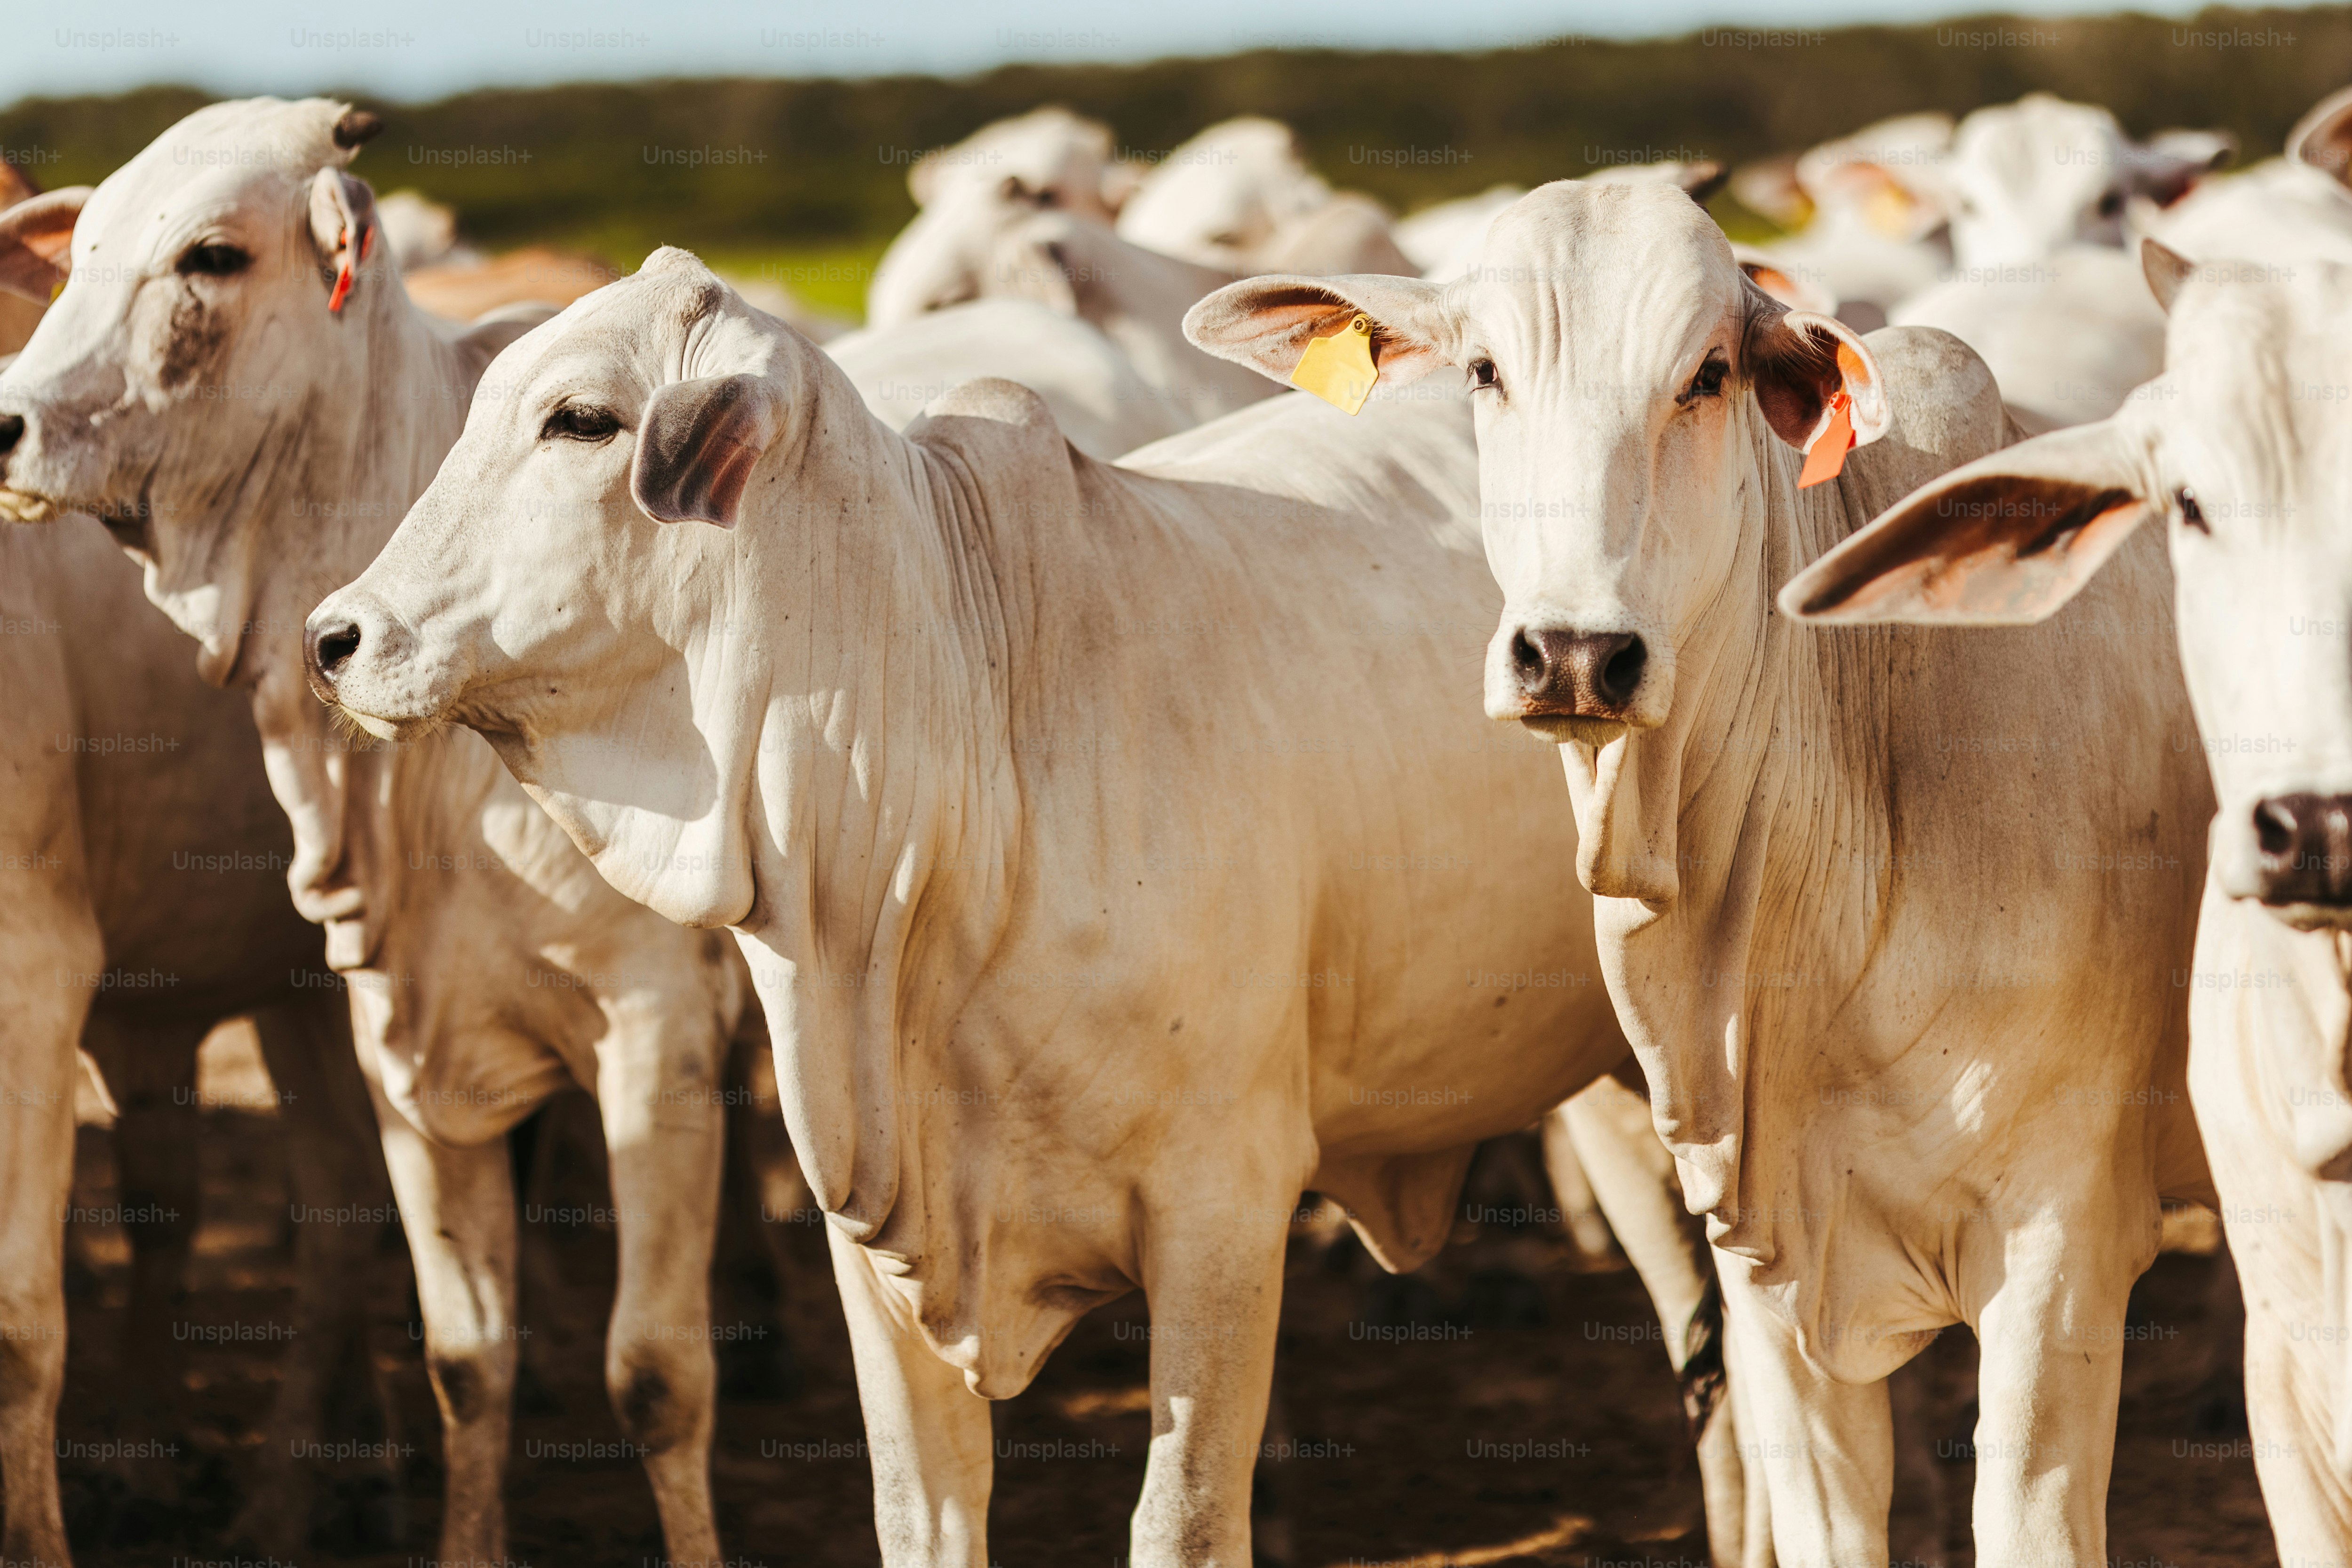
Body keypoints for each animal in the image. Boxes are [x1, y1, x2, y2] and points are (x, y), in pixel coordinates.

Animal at [299, 246, 1765, 1567]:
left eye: (581, 419)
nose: (334, 638)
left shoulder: (1225, 1211)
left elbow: (1185, 1524)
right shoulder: (878, 1244)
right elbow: (920, 1519)